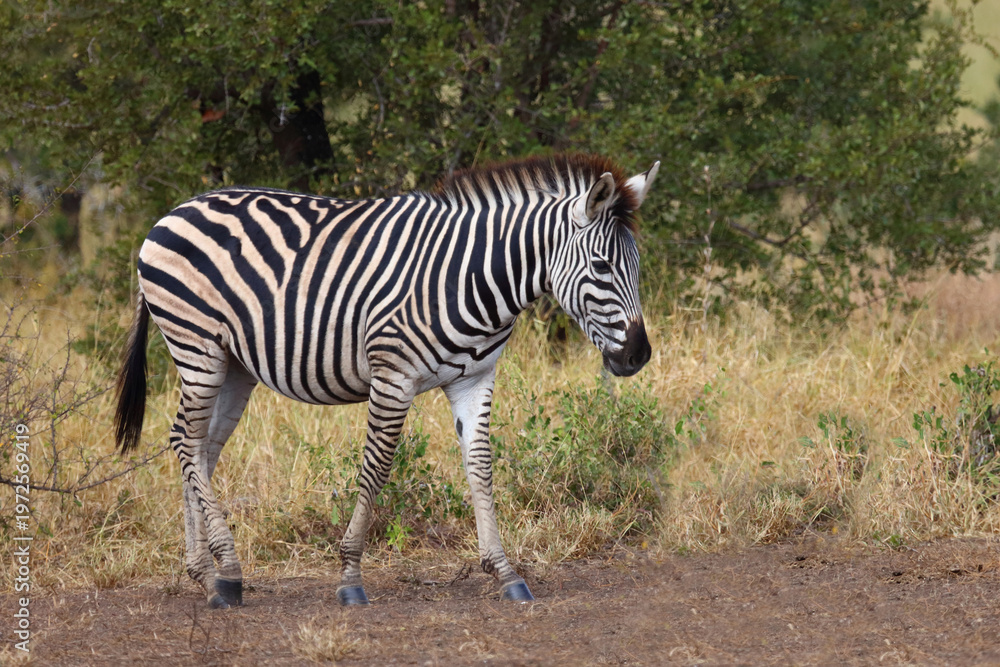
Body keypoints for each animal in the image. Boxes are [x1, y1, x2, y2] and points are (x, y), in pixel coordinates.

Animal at [114, 154, 659, 608]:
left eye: (637, 266)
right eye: (602, 266)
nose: (638, 356)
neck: (474, 278)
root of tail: (173, 212)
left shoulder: (475, 379)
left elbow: (481, 467)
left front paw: (505, 571)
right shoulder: (392, 376)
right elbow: (375, 469)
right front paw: (350, 577)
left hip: (234, 366)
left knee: (200, 448)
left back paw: (209, 574)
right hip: (196, 346)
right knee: (185, 441)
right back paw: (225, 573)